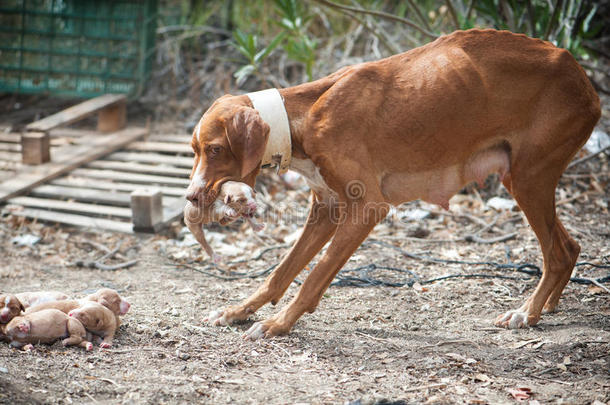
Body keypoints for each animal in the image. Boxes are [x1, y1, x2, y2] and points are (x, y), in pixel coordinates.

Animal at [185, 29, 600, 338]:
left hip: (527, 178)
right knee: (570, 247)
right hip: (527, 180)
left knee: (557, 253)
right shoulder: (327, 209)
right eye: (194, 149)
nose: (190, 197)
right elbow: (281, 271)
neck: (300, 119)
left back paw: (526, 314)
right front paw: (239, 311)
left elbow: (314, 276)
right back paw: (546, 306)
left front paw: (278, 324)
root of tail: (581, 76)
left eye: (216, 149)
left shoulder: (367, 207)